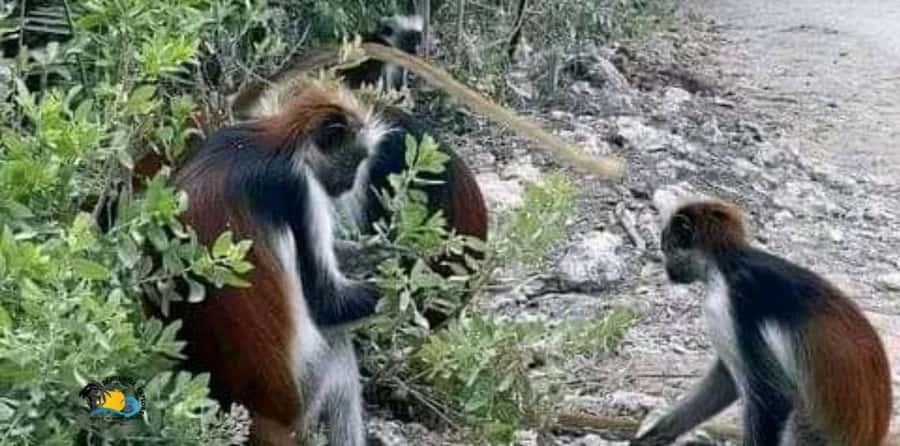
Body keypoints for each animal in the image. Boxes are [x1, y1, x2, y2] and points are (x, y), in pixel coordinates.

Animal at [161, 79, 392, 445]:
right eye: (355, 159)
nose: (349, 183)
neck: (276, 143)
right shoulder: (299, 186)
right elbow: (326, 303)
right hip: (303, 394)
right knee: (337, 344)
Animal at [631, 199, 893, 446]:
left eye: (666, 248)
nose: (667, 270)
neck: (727, 263)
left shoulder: (732, 301)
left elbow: (774, 399)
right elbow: (726, 380)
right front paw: (654, 436)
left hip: (812, 433)